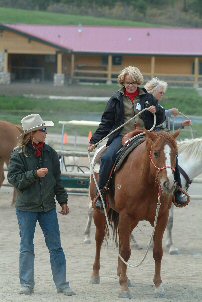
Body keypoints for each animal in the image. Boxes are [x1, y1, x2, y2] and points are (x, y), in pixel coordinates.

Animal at [90, 131, 178, 298]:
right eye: (156, 153)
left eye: (176, 154)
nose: (168, 184)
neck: (147, 182)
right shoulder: (126, 215)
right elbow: (125, 251)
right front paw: (124, 288)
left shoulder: (161, 218)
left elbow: (157, 252)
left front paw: (158, 285)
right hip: (99, 212)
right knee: (98, 239)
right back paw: (95, 275)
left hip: (132, 221)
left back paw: (121, 274)